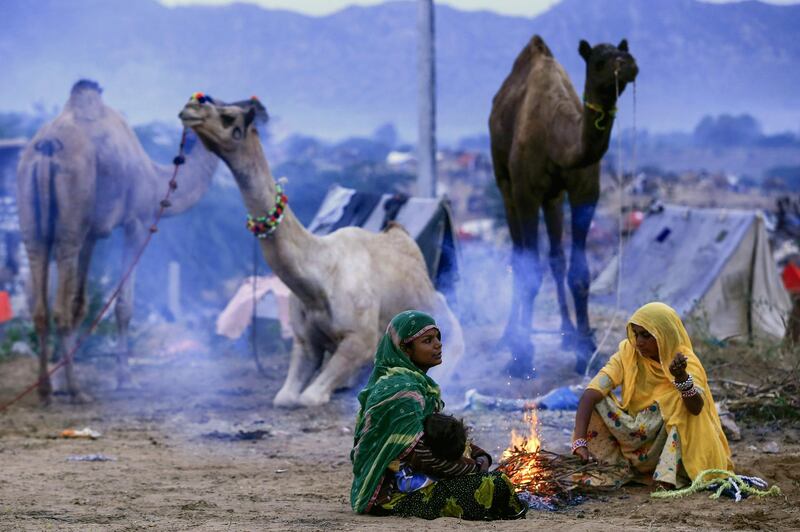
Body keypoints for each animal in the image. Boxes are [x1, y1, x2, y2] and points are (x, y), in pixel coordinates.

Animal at [18, 80, 219, 404]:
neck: (156, 180)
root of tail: (46, 147)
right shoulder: (136, 222)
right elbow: (123, 306)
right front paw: (125, 380)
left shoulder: (91, 234)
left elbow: (81, 304)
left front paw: (60, 380)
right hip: (69, 222)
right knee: (59, 309)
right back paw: (77, 391)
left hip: (33, 224)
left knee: (40, 306)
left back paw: (46, 391)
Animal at [488, 35, 636, 376]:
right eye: (599, 61)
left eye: (624, 51)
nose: (628, 64)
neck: (556, 137)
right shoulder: (525, 191)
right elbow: (530, 270)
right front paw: (522, 355)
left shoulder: (585, 191)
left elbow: (579, 272)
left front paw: (585, 348)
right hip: (504, 182)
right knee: (518, 253)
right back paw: (508, 337)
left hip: (553, 198)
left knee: (556, 256)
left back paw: (566, 333)